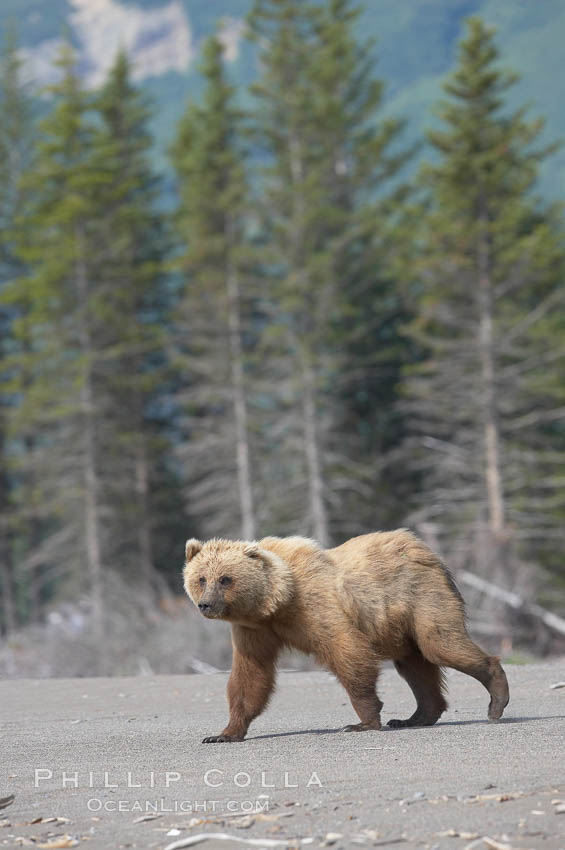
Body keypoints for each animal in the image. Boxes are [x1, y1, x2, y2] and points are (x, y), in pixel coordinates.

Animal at [183, 528, 508, 744]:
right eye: (201, 578)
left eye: (226, 579)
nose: (205, 604)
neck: (276, 602)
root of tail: (427, 552)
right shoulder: (255, 631)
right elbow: (250, 676)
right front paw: (223, 733)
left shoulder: (314, 608)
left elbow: (348, 652)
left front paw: (362, 722)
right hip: (402, 625)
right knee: (415, 665)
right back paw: (414, 717)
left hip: (422, 597)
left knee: (440, 644)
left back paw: (496, 700)